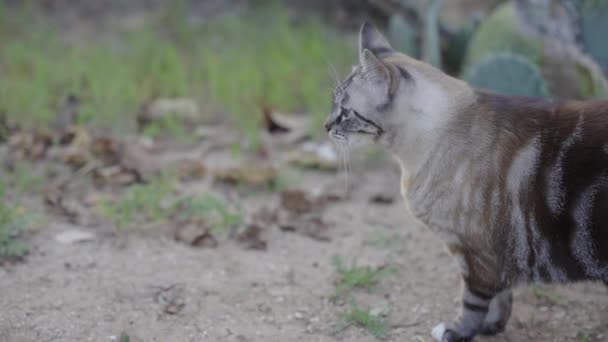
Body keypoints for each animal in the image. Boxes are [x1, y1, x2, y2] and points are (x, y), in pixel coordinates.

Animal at [326, 22, 608, 342]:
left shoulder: (473, 253)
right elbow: (500, 298)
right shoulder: (494, 257)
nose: (326, 126)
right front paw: (491, 328)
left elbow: (472, 302)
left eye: (344, 113)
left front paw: (456, 331)